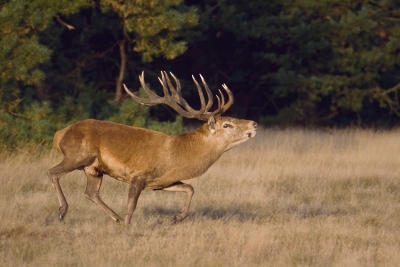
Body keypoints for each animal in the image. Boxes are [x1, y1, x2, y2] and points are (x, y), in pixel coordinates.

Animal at [47, 71, 258, 226]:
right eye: (227, 124)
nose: (254, 124)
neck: (176, 155)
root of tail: (60, 134)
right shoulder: (138, 174)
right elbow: (131, 206)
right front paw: (128, 227)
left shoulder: (161, 182)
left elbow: (190, 188)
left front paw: (177, 217)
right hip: (78, 154)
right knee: (52, 172)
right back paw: (62, 212)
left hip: (94, 169)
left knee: (90, 192)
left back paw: (116, 218)